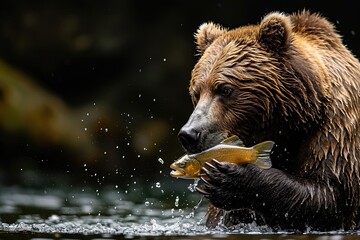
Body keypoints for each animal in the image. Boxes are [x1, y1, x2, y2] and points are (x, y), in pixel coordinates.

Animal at [179, 10, 360, 232]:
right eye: (196, 92)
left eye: (225, 89)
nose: (189, 134)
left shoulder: (335, 129)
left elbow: (330, 196)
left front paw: (230, 180)